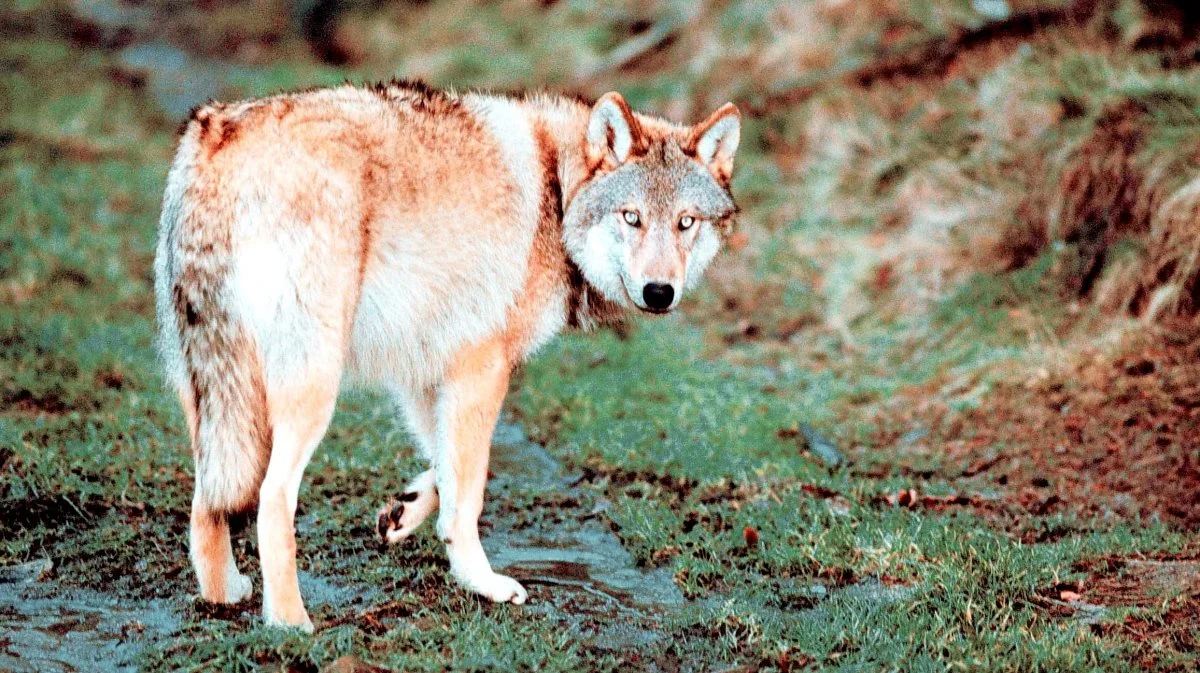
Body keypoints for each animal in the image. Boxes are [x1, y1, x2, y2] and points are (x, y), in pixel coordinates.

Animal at [154, 79, 734, 628]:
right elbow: (469, 493)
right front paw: (483, 583)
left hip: (216, 398)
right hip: (309, 391)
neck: (559, 192)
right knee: (272, 499)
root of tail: (218, 136)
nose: (659, 292)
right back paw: (292, 624)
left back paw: (224, 593)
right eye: (631, 217)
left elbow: (444, 466)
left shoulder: (428, 367)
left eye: (685, 222)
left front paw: (404, 513)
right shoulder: (483, 367)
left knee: (206, 499)